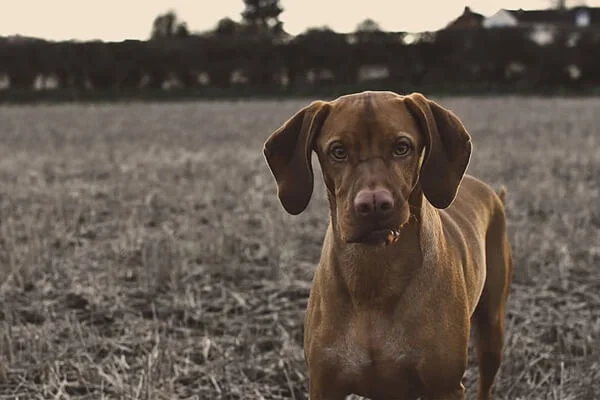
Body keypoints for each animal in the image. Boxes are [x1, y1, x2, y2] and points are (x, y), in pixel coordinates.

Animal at [262, 91, 510, 400]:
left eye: (402, 147)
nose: (374, 205)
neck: (374, 276)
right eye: (338, 151)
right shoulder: (323, 385)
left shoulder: (446, 386)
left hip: (491, 331)